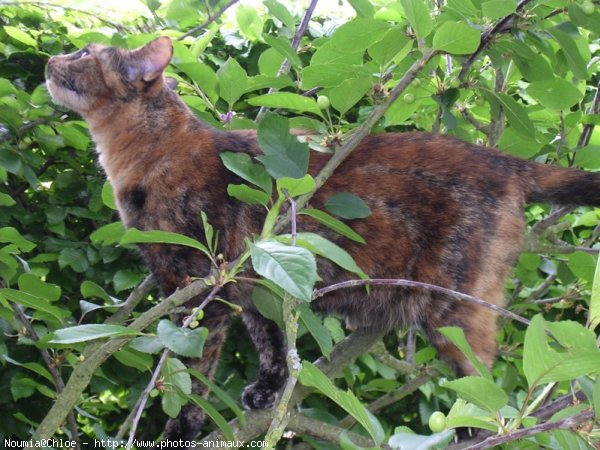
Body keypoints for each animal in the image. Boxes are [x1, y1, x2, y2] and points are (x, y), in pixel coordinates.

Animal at [45, 37, 600, 442]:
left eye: (84, 53)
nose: (51, 58)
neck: (142, 154)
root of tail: (504, 160)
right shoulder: (258, 283)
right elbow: (271, 343)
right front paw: (268, 392)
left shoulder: (201, 289)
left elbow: (192, 372)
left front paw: (179, 429)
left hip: (456, 311)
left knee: (488, 384)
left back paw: (475, 434)